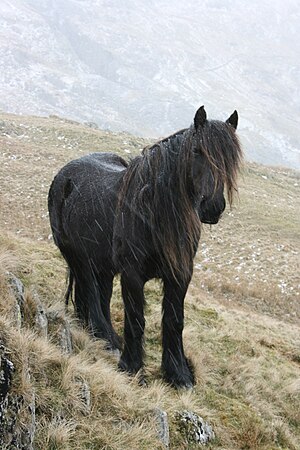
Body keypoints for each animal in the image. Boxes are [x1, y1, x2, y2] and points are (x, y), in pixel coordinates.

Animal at [48, 107, 241, 388]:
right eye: (196, 151)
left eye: (230, 159)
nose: (212, 207)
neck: (154, 211)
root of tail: (64, 174)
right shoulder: (132, 274)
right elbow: (136, 319)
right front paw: (132, 368)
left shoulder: (180, 275)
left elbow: (174, 321)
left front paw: (179, 375)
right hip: (79, 259)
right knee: (92, 295)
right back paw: (107, 340)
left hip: (103, 266)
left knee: (101, 297)